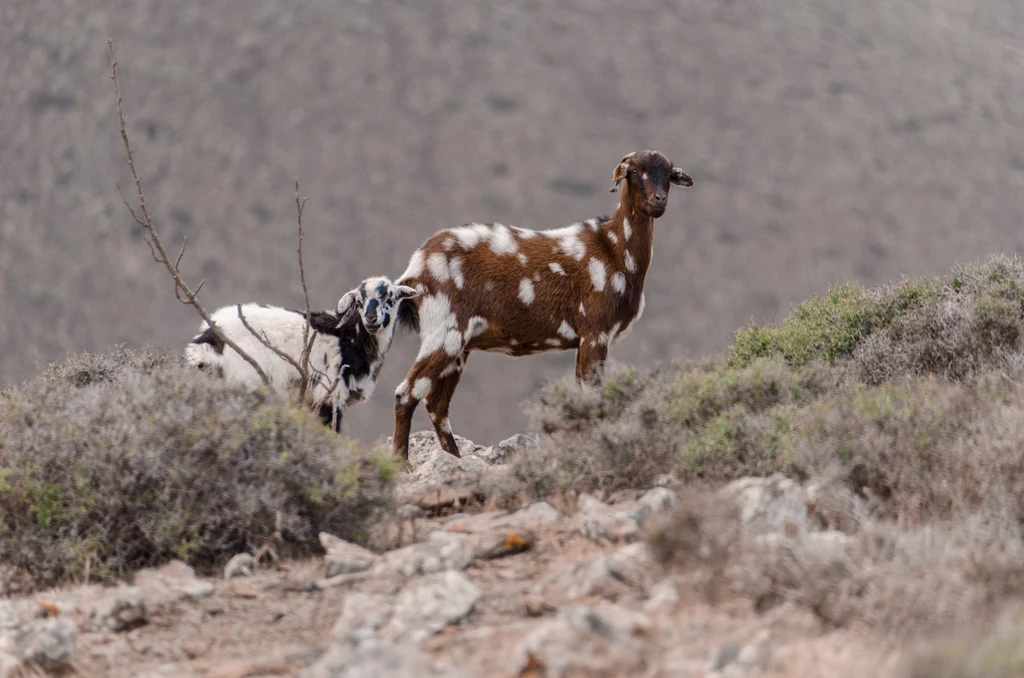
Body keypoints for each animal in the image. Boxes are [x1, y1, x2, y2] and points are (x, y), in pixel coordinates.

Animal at [186, 278, 417, 432]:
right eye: (358, 302)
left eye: (390, 298)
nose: (370, 319)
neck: (348, 338)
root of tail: (206, 341)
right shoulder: (328, 393)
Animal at [387, 150, 692, 458]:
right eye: (634, 172)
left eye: (668, 174)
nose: (658, 200)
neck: (613, 249)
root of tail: (415, 269)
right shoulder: (596, 334)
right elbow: (593, 399)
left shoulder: (584, 340)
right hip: (444, 333)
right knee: (407, 393)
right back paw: (403, 462)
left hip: (459, 347)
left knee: (437, 404)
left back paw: (455, 458)